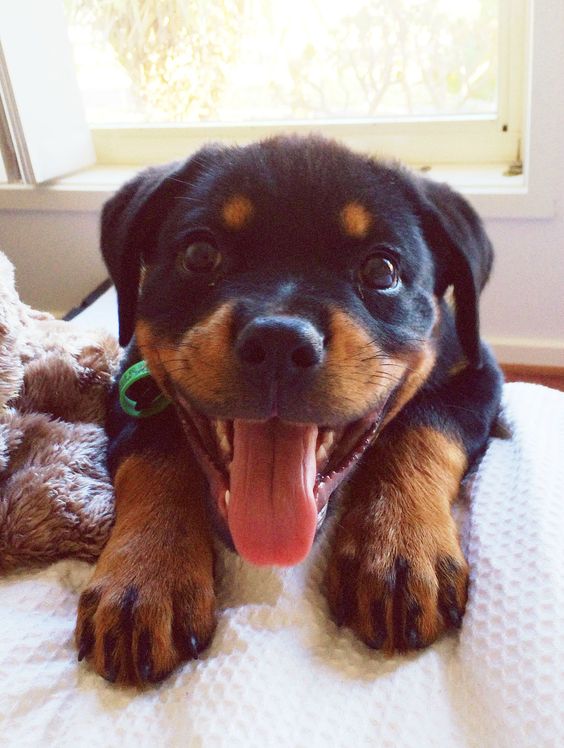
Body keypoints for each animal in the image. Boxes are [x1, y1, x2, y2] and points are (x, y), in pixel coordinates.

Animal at [76, 133, 502, 684]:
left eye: (381, 270)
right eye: (199, 254)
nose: (278, 342)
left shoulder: (478, 375)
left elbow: (423, 428)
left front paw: (399, 547)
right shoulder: (132, 380)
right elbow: (155, 453)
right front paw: (146, 573)